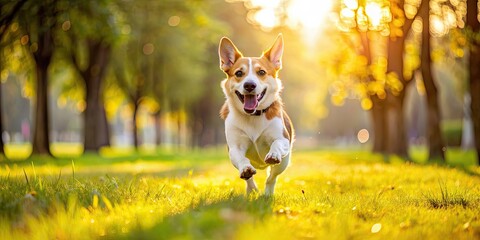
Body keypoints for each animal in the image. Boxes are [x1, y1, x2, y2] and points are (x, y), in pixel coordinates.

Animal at [218, 33, 292, 195]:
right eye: (239, 73)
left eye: (261, 72)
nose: (249, 85)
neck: (253, 116)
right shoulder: (235, 147)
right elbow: (241, 159)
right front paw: (245, 169)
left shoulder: (283, 139)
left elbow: (277, 143)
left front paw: (273, 154)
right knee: (250, 180)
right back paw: (252, 190)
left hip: (284, 163)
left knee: (272, 177)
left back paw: (268, 194)